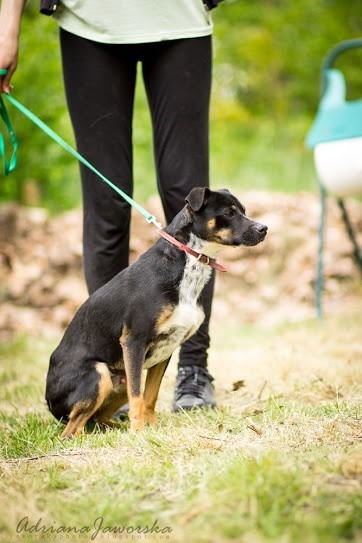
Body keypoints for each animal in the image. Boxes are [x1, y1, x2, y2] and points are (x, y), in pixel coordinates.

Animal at [45, 187, 268, 438]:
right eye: (229, 213)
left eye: (244, 211)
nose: (264, 228)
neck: (187, 262)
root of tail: (48, 401)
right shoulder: (133, 342)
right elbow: (137, 397)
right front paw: (138, 433)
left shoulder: (166, 349)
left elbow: (149, 396)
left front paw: (151, 430)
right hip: (99, 374)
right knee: (71, 430)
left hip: (118, 382)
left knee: (96, 420)